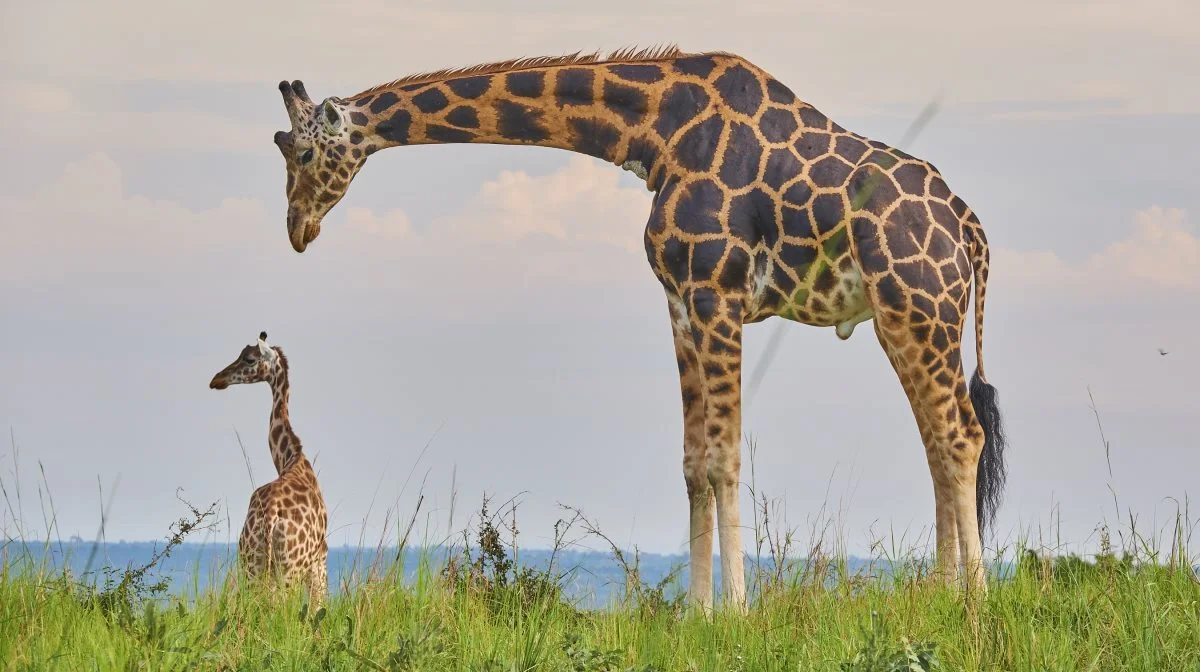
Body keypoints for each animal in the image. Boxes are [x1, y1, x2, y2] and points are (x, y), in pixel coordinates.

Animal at [208, 333, 326, 600]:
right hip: (288, 571)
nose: (216, 379)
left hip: (252, 564)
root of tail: (272, 516)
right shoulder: (320, 558)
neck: (290, 458)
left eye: (249, 358)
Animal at [270, 44, 1003, 612]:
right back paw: (941, 595)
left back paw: (973, 601)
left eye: (301, 154)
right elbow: (694, 464)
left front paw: (738, 612)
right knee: (935, 442)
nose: (297, 229)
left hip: (923, 308)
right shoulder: (679, 303)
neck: (655, 135)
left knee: (962, 435)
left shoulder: (717, 294)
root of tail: (969, 227)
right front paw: (699, 613)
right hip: (900, 320)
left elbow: (727, 457)